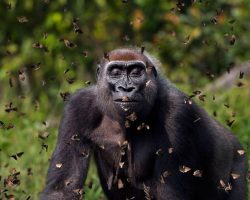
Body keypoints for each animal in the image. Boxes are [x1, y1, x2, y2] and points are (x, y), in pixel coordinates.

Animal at [40, 47, 247, 199]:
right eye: (115, 73)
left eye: (135, 72)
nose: (126, 88)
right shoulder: (78, 106)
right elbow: (63, 187)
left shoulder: (178, 112)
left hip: (238, 161)